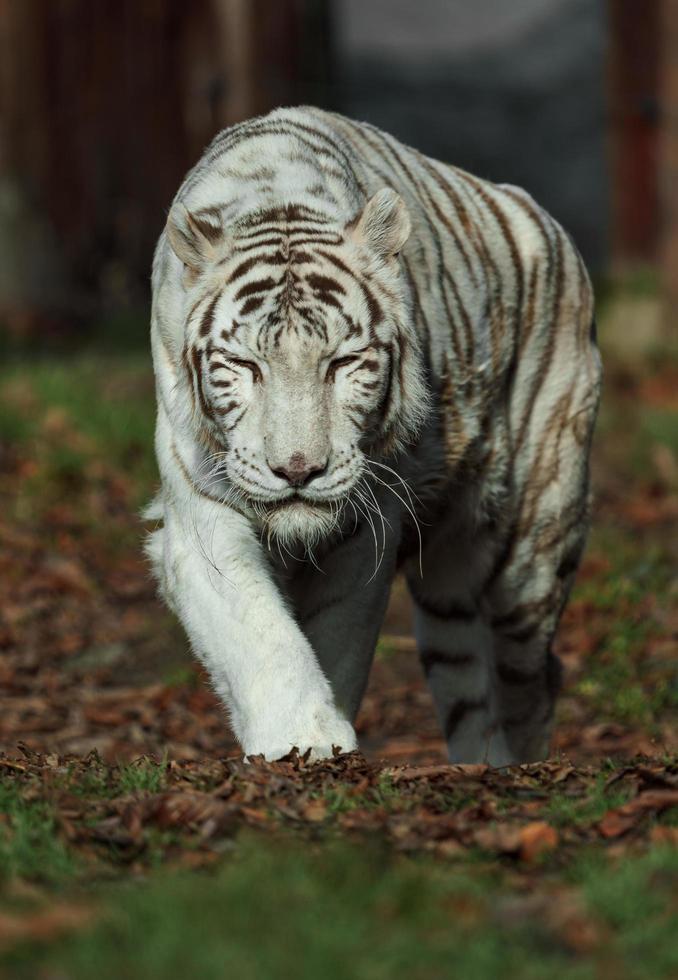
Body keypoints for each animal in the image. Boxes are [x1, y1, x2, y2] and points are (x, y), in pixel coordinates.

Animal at [146, 107, 604, 764]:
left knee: (535, 672)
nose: (298, 470)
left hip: (532, 546)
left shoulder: (363, 529)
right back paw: (479, 765)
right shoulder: (202, 510)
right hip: (449, 595)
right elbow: (262, 637)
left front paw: (320, 745)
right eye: (245, 365)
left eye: (343, 363)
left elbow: (336, 639)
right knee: (468, 674)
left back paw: (521, 765)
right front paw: (302, 741)